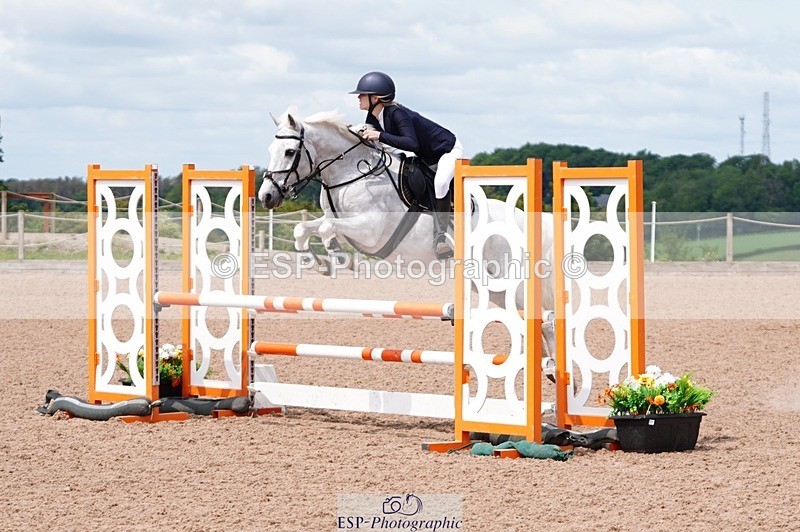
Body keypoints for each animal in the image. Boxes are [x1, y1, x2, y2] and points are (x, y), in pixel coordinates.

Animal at [257, 109, 557, 370]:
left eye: (290, 152)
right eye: (270, 151)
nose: (266, 196)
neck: (351, 173)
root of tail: (523, 219)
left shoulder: (370, 230)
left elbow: (328, 228)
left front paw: (339, 257)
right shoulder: (342, 223)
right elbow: (303, 230)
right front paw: (320, 263)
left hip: (510, 281)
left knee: (543, 318)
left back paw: (554, 369)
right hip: (489, 286)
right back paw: (548, 369)